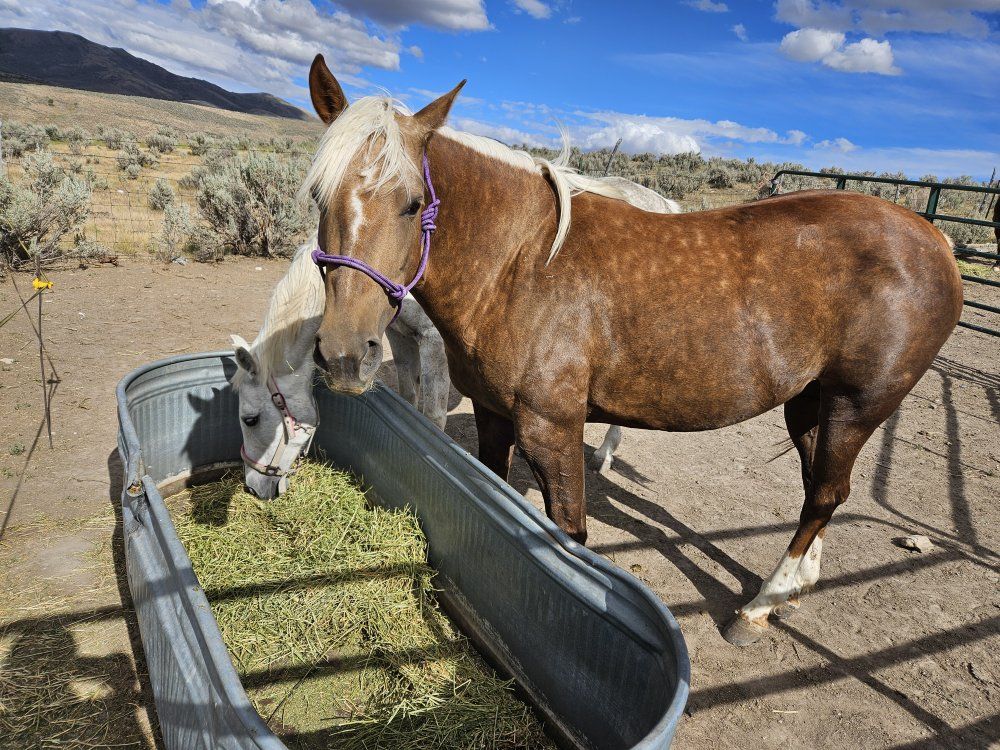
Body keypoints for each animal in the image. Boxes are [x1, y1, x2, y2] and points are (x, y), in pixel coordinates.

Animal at [302, 55, 963, 645]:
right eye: (317, 197)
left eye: (413, 203)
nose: (344, 354)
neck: (519, 263)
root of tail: (936, 240)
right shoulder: (493, 415)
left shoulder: (551, 428)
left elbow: (568, 534)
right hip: (809, 404)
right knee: (821, 490)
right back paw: (794, 589)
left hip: (856, 406)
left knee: (825, 493)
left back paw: (757, 609)